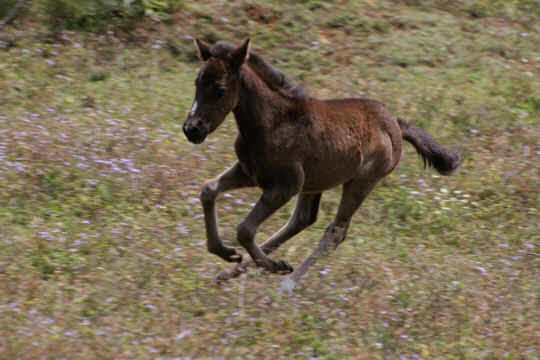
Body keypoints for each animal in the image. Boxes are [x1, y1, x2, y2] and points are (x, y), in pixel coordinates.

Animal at [182, 38, 460, 292]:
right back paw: (233, 272)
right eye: (196, 83)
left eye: (219, 89)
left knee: (335, 231)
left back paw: (287, 283)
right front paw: (225, 252)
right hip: (314, 183)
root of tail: (396, 124)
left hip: (361, 182)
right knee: (302, 220)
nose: (192, 129)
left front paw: (272, 265)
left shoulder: (284, 186)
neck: (271, 121)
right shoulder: (249, 172)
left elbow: (245, 229)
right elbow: (208, 190)